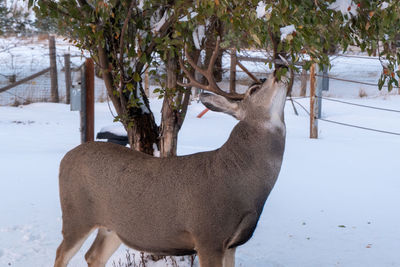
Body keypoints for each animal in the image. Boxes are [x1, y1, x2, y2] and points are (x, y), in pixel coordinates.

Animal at [55, 39, 288, 267]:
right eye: (254, 90)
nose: (281, 65)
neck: (240, 180)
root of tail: (64, 159)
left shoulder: (232, 245)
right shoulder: (207, 235)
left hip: (113, 226)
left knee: (93, 256)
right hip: (77, 214)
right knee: (62, 253)